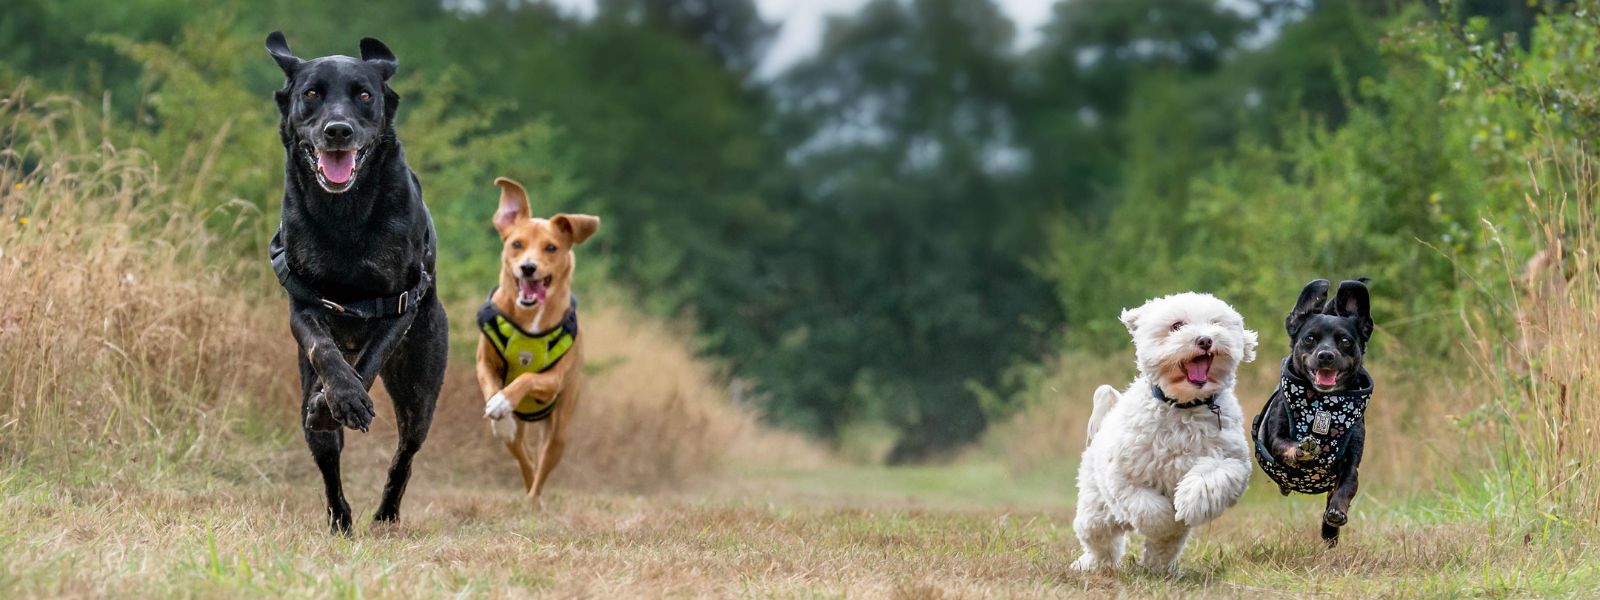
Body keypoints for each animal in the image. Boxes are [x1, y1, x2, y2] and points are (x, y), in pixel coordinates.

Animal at [262, 30, 448, 534]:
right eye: (311, 94)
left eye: (364, 95)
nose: (338, 130)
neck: (344, 216)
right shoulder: (304, 305)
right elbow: (322, 348)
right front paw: (338, 398)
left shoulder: (399, 304)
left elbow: (369, 362)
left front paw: (346, 400)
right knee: (327, 455)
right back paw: (340, 517)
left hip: (420, 392)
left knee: (405, 455)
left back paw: (385, 515)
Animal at [476, 176, 601, 505]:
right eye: (516, 244)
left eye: (551, 247)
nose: (528, 267)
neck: (529, 318)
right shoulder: (485, 361)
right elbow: (490, 384)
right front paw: (499, 410)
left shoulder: (554, 379)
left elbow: (528, 377)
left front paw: (504, 400)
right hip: (523, 435)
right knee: (524, 456)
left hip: (559, 426)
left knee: (543, 463)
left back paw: (534, 500)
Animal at [1068, 294, 1254, 576]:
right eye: (1177, 325)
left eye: (1215, 323)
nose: (1205, 340)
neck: (1183, 405)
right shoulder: (1125, 475)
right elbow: (1149, 510)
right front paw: (1167, 518)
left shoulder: (1230, 460)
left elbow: (1211, 478)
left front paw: (1188, 504)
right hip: (1096, 508)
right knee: (1100, 541)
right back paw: (1089, 565)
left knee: (1164, 548)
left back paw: (1160, 570)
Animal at [1248, 280, 1376, 547]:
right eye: (1309, 339)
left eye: (1345, 341)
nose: (1326, 354)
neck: (1323, 407)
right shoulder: (1275, 438)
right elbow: (1286, 445)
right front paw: (1302, 450)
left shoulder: (1351, 463)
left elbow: (1346, 487)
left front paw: (1336, 514)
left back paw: (1330, 532)